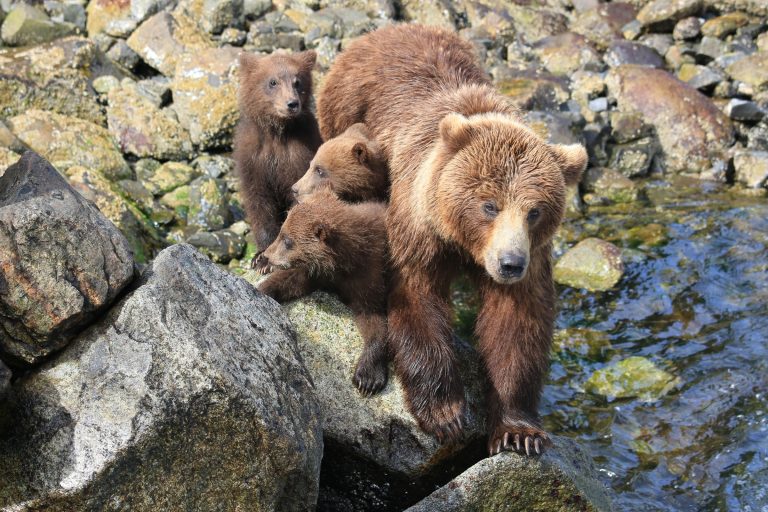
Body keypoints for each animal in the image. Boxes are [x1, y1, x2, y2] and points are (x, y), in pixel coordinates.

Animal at [258, 190, 390, 394]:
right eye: (282, 230)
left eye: (288, 240)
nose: (267, 255)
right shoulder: (317, 272)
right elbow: (290, 281)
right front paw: (262, 289)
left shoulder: (368, 274)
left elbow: (373, 318)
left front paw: (367, 378)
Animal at [316, 24, 584, 456]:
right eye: (489, 205)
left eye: (535, 211)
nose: (510, 263)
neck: (463, 243)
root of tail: (387, 31)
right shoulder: (418, 230)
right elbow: (417, 299)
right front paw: (446, 414)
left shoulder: (532, 258)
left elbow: (516, 325)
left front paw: (518, 432)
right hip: (344, 113)